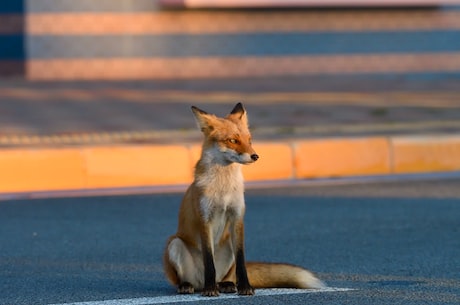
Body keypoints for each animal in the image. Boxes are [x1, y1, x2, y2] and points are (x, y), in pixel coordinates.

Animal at [164, 103, 326, 296]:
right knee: (190, 279)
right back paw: (192, 285)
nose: (255, 156)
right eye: (233, 140)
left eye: (249, 140)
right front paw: (210, 290)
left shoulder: (237, 217)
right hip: (174, 243)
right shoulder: (205, 219)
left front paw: (245, 287)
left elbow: (241, 262)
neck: (223, 189)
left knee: (226, 276)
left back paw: (226, 284)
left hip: (227, 246)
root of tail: (199, 282)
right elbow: (209, 261)